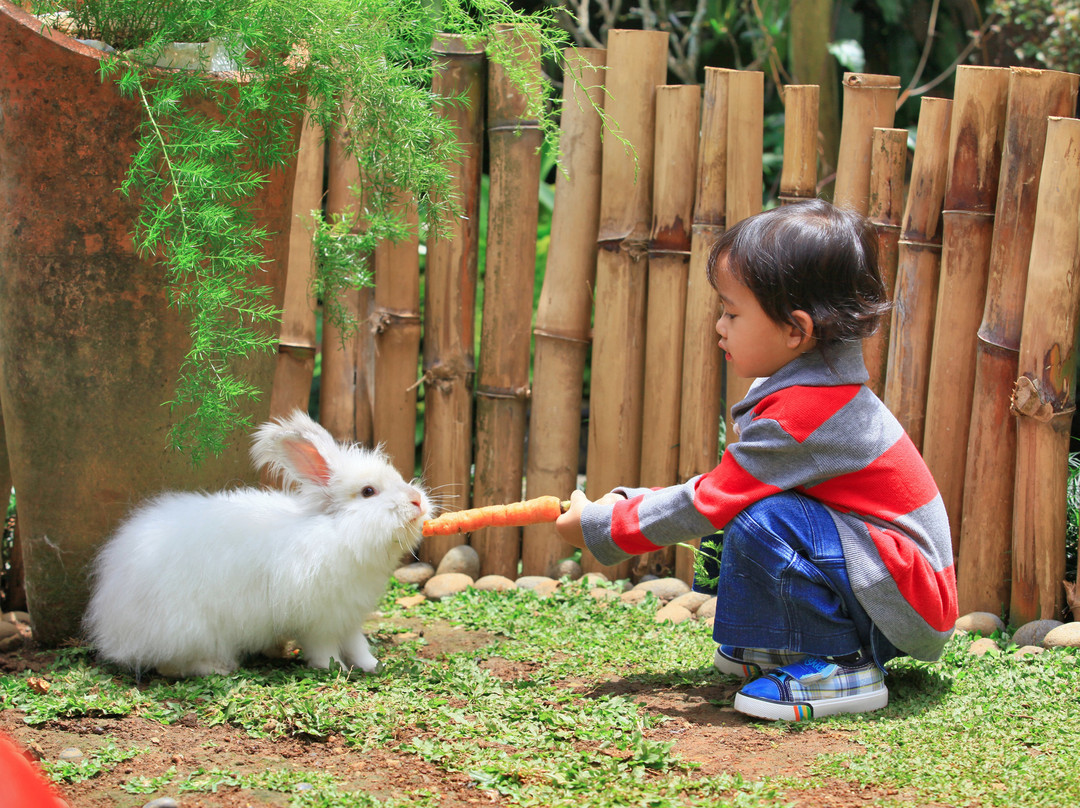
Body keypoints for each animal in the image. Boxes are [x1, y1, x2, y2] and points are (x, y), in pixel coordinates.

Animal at [84, 410, 429, 674]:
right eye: (369, 492)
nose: (416, 501)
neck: (337, 532)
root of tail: (111, 617)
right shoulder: (319, 620)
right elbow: (324, 649)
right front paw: (334, 669)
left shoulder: (349, 618)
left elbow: (358, 645)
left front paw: (372, 665)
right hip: (188, 631)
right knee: (170, 665)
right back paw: (218, 668)